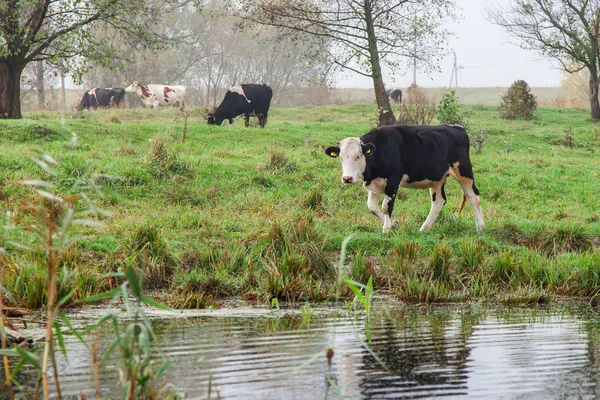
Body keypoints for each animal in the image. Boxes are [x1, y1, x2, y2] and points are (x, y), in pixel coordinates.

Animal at [326, 126, 486, 234]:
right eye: (341, 158)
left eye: (358, 156)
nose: (347, 178)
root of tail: (456, 128)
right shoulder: (375, 183)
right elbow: (372, 207)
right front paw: (393, 223)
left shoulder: (393, 181)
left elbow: (386, 206)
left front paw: (386, 229)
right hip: (437, 179)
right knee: (439, 201)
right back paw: (424, 229)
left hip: (464, 172)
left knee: (473, 197)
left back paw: (480, 228)